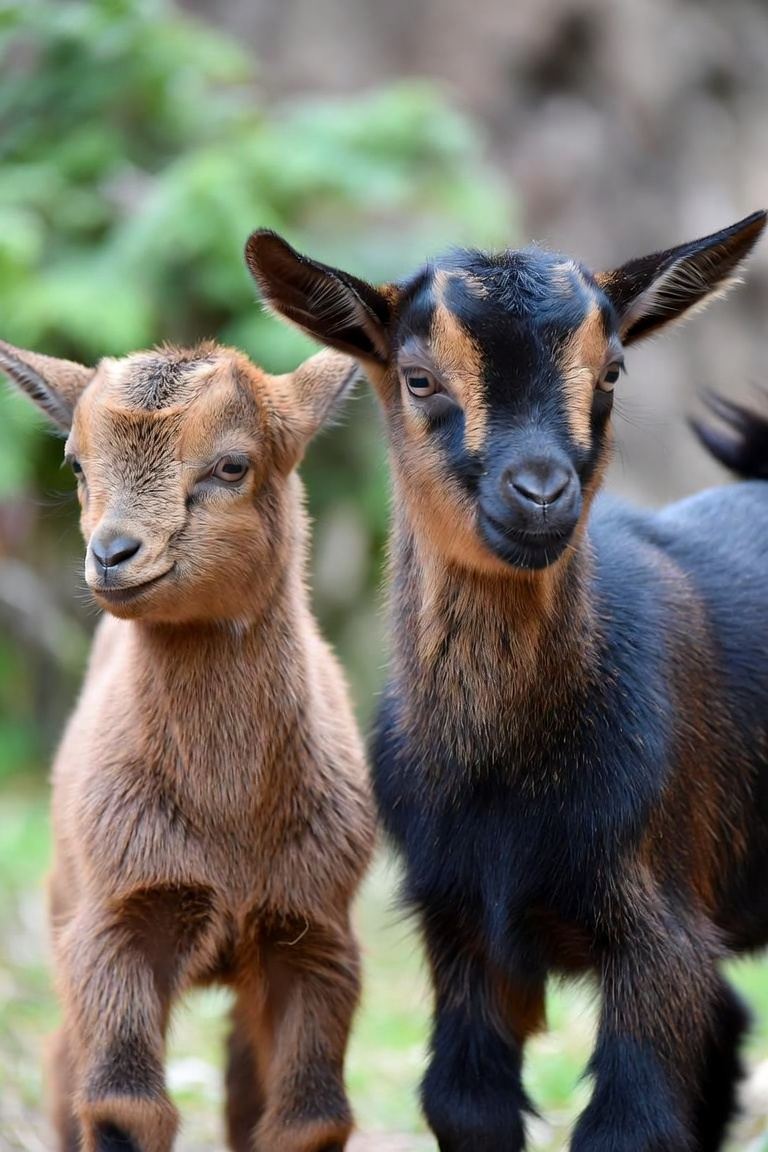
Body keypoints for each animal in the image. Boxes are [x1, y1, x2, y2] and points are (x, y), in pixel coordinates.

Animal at [0, 338, 375, 1152]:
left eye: (233, 465)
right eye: (75, 463)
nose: (113, 553)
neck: (228, 818)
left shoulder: (313, 934)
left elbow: (307, 1118)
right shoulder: (117, 921)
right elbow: (121, 1103)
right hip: (66, 902)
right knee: (62, 1063)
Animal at [246, 210, 768, 1152]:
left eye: (612, 370)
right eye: (418, 379)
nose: (540, 493)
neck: (505, 782)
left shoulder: (660, 934)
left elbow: (629, 1124)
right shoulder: (461, 923)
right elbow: (464, 1102)